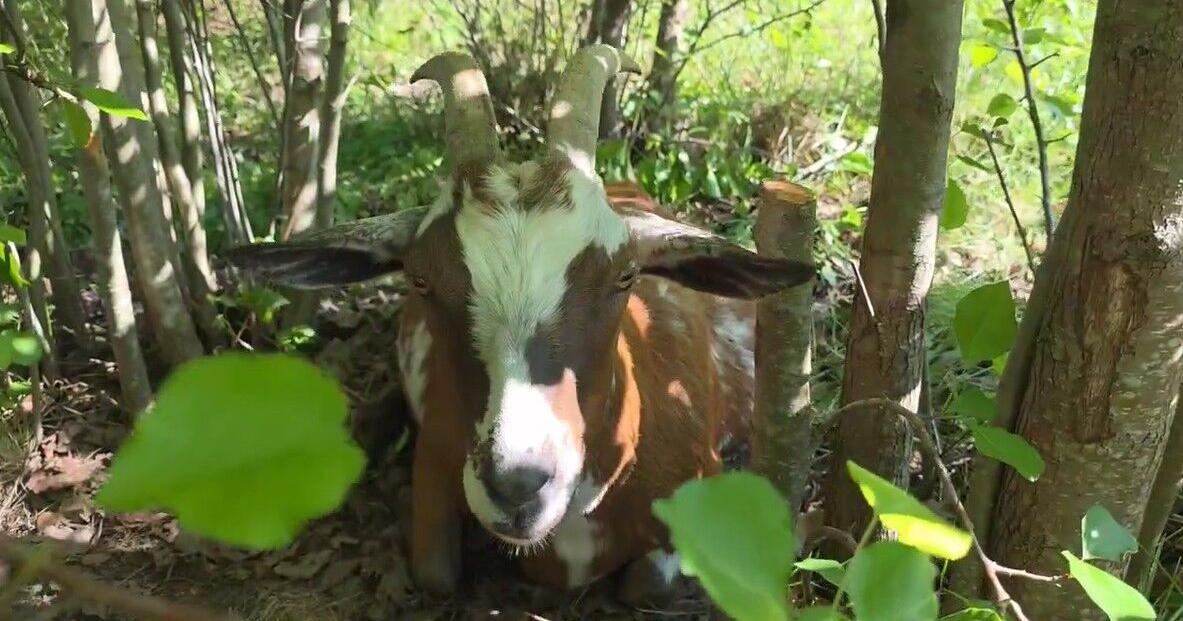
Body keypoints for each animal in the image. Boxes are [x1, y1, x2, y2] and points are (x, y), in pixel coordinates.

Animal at [225, 45, 814, 602]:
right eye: (420, 278)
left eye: (625, 276)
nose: (516, 484)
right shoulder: (438, 458)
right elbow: (436, 573)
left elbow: (648, 584)